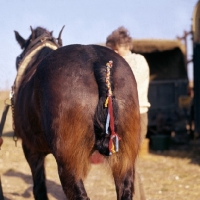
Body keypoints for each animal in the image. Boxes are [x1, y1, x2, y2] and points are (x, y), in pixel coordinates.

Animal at [13, 27, 141, 200]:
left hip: (68, 165)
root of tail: (97, 61)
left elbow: (39, 189)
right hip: (124, 161)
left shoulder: (31, 150)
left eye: (18, 58)